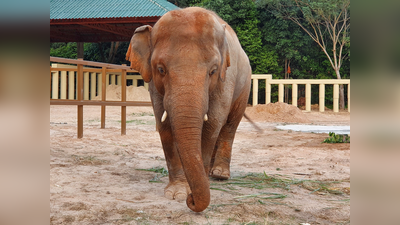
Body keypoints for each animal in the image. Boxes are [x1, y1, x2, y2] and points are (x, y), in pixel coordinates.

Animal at [126, 6, 250, 212]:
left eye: (213, 71)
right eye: (161, 69)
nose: (191, 200)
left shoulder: (226, 77)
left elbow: (212, 123)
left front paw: (192, 189)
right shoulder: (154, 85)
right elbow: (164, 126)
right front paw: (177, 193)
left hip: (244, 86)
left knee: (229, 125)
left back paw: (219, 174)